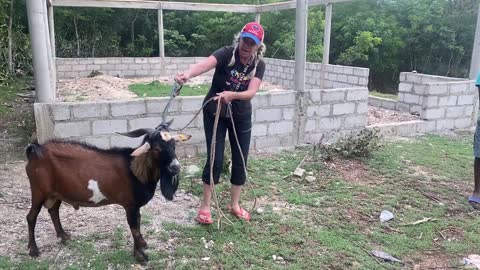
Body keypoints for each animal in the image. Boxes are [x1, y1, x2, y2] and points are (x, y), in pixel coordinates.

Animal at [24, 124, 189, 262]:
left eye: (174, 145)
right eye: (156, 148)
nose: (175, 167)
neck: (134, 170)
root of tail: (34, 151)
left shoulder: (135, 206)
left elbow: (137, 225)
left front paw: (138, 252)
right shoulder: (130, 204)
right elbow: (134, 228)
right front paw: (141, 256)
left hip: (56, 192)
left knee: (53, 210)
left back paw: (64, 236)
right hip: (38, 190)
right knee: (31, 217)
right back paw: (33, 250)